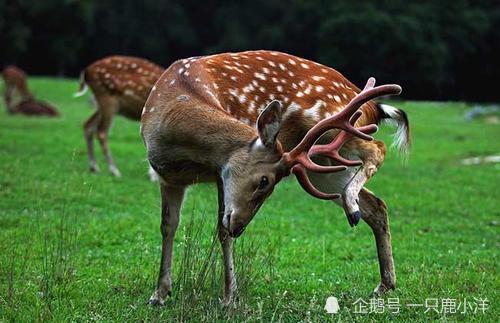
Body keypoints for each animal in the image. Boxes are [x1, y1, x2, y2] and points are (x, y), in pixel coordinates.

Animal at [141, 50, 410, 306]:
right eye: (264, 181)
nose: (239, 227)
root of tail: (372, 106)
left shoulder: (220, 176)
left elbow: (221, 232)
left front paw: (230, 298)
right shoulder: (168, 178)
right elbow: (168, 226)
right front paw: (159, 294)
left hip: (334, 130)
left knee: (378, 148)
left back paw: (353, 208)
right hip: (320, 167)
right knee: (376, 205)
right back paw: (384, 283)